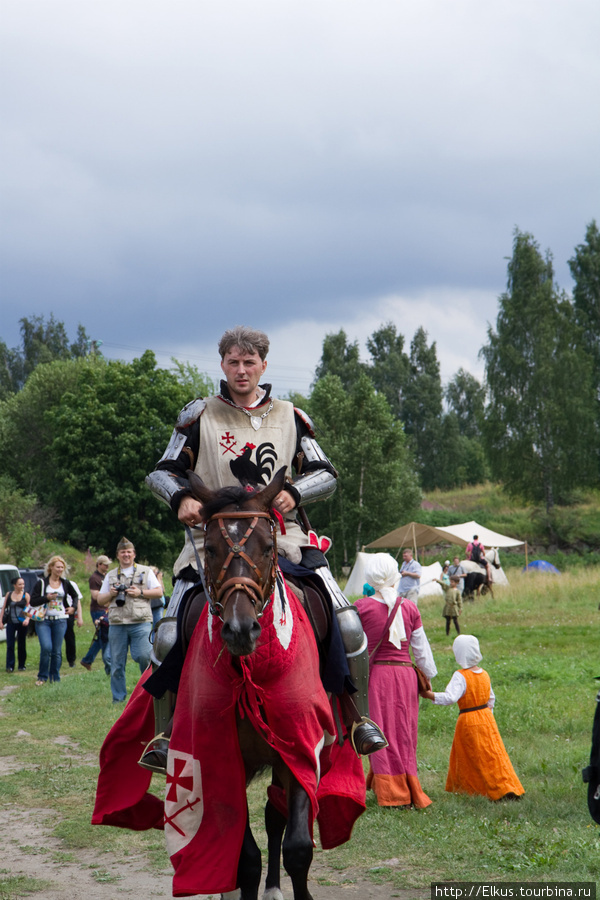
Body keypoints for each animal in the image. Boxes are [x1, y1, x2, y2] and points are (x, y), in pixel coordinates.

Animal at [186, 464, 318, 900]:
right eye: (210, 549)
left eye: (265, 546)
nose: (240, 629)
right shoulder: (227, 759)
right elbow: (245, 857)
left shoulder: (300, 747)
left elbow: (298, 847)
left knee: (275, 816)